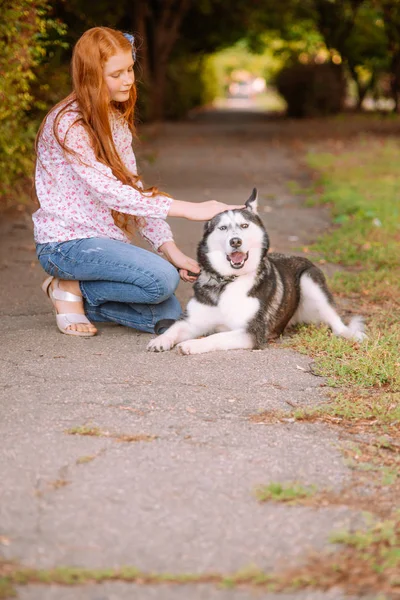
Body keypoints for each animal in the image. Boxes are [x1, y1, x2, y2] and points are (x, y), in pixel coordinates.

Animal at [147, 190, 366, 354]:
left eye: (244, 225)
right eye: (222, 228)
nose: (235, 241)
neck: (227, 281)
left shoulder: (250, 332)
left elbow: (216, 336)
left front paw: (192, 344)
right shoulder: (192, 321)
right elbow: (174, 328)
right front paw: (162, 339)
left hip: (309, 280)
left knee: (336, 321)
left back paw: (351, 334)